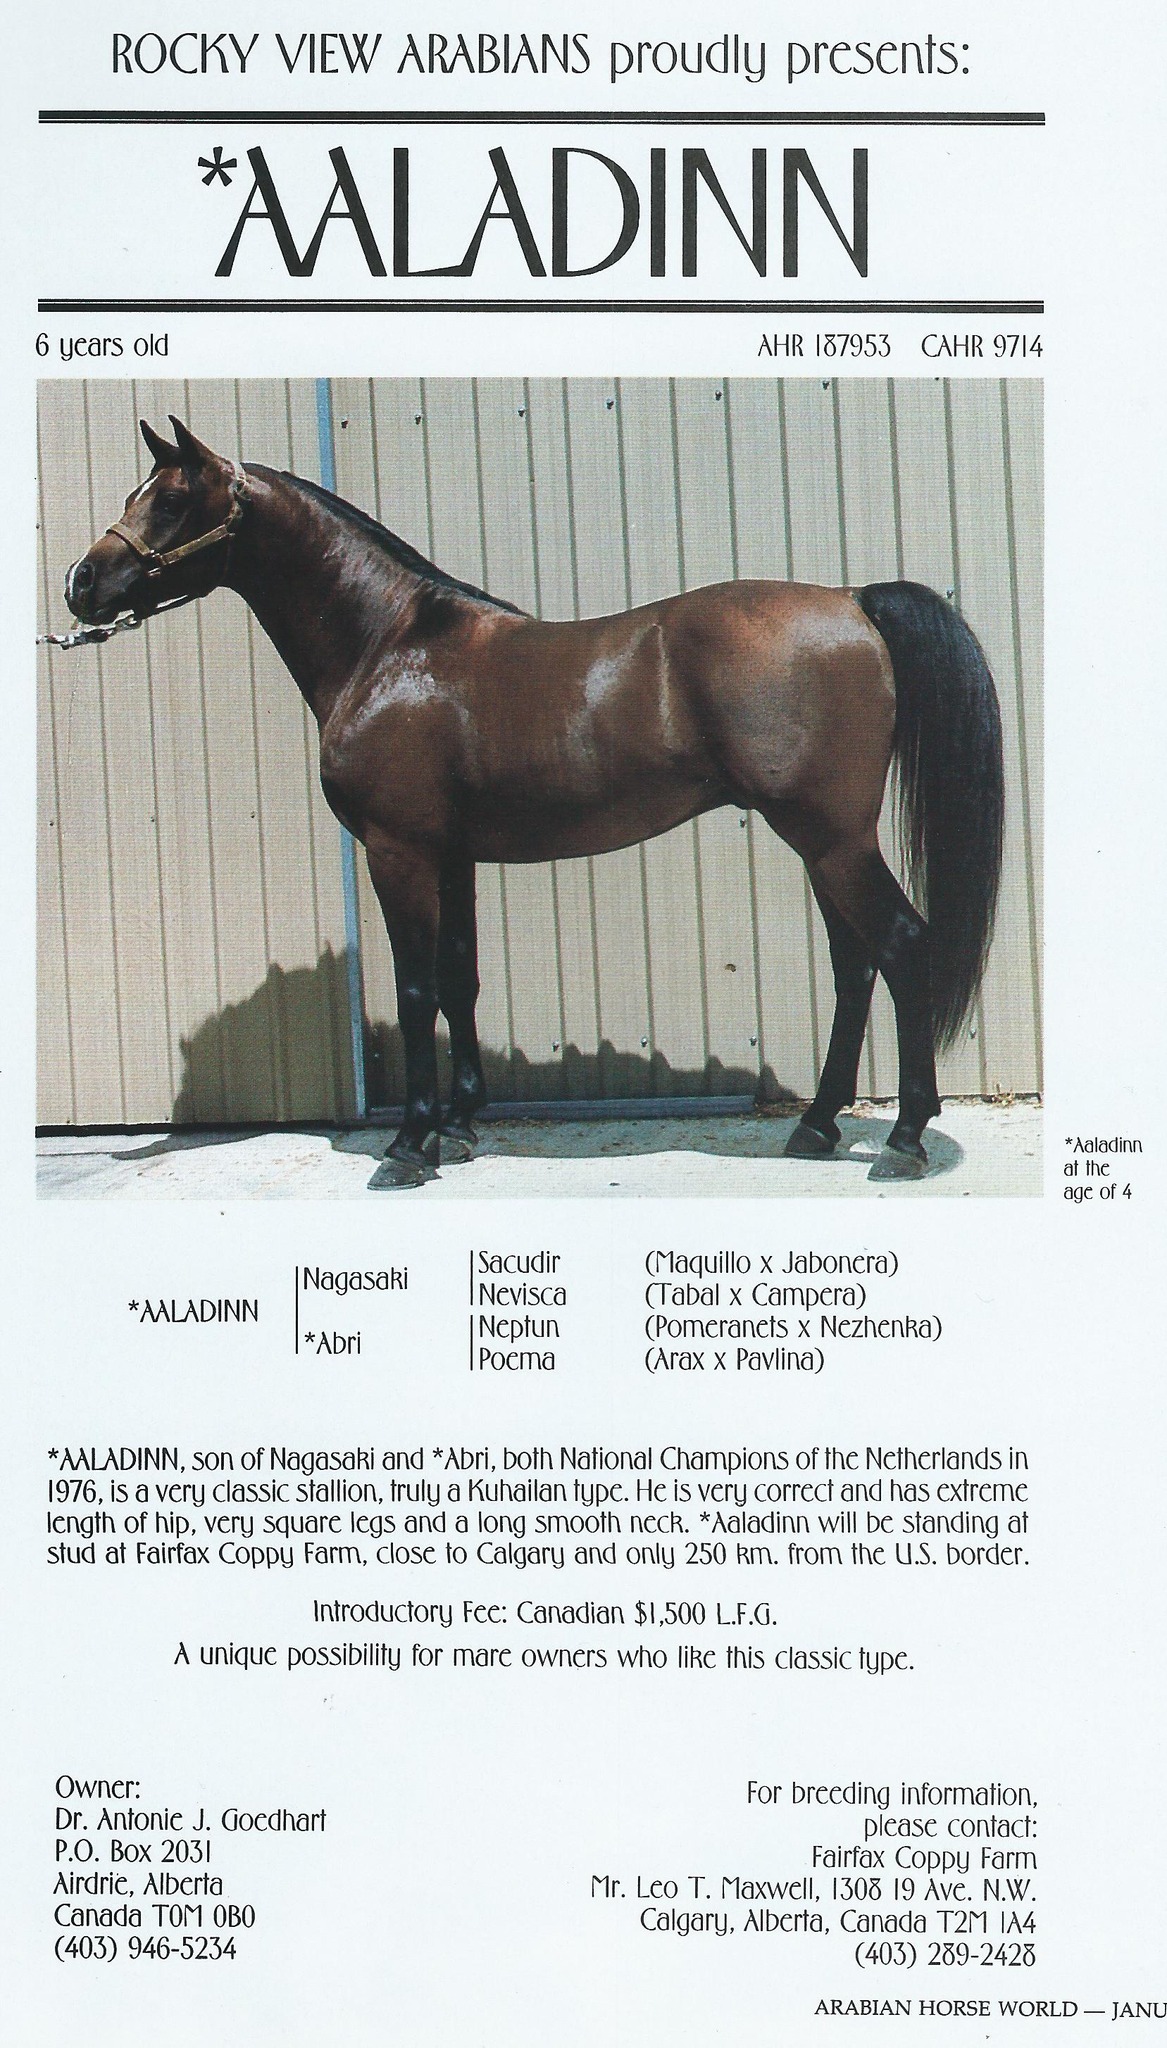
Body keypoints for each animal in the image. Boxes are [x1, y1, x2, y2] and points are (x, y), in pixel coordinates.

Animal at [62, 414, 1004, 1189]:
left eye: (173, 500)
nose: (81, 584)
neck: (389, 646)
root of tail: (852, 601)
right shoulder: (453, 856)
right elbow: (459, 980)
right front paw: (458, 1125)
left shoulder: (398, 851)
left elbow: (415, 991)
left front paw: (408, 1147)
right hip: (823, 843)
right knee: (855, 966)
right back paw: (814, 1127)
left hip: (830, 839)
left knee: (901, 946)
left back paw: (902, 1141)